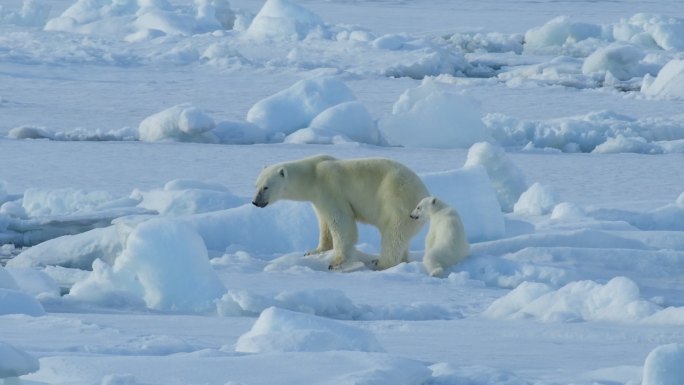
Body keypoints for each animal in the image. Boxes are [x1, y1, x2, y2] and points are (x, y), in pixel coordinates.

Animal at [254, 154, 430, 268]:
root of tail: (424, 192)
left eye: (266, 187)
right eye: (256, 185)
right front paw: (314, 251)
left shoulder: (331, 190)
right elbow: (324, 222)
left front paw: (335, 261)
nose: (255, 202)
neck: (313, 175)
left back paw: (380, 263)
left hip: (397, 202)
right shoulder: (318, 199)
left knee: (393, 235)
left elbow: (341, 222)